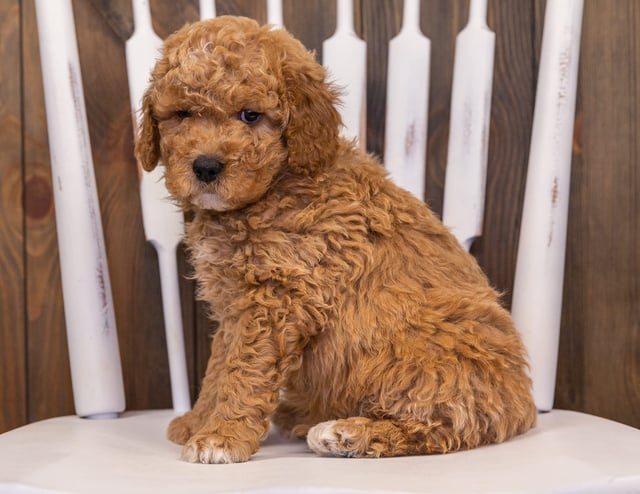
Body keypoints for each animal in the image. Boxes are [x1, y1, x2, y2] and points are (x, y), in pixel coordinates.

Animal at [135, 15, 536, 464]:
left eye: (250, 115)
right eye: (182, 114)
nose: (205, 166)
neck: (276, 186)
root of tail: (522, 404)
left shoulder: (276, 301)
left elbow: (244, 372)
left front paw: (221, 436)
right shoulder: (236, 305)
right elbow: (220, 365)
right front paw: (198, 422)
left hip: (420, 355)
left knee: (443, 425)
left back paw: (345, 433)